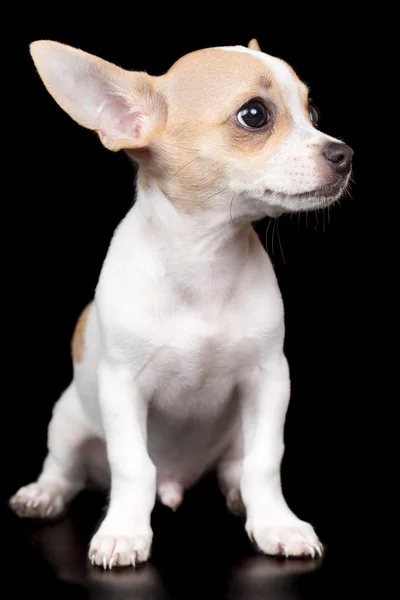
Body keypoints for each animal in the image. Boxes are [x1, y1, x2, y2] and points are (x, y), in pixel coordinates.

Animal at [9, 35, 354, 568]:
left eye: (312, 111)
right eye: (255, 115)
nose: (344, 153)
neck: (204, 260)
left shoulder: (270, 380)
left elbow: (264, 463)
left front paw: (276, 523)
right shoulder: (122, 388)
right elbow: (133, 465)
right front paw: (124, 531)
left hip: (235, 433)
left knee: (236, 468)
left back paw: (237, 497)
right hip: (66, 421)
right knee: (65, 469)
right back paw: (44, 494)